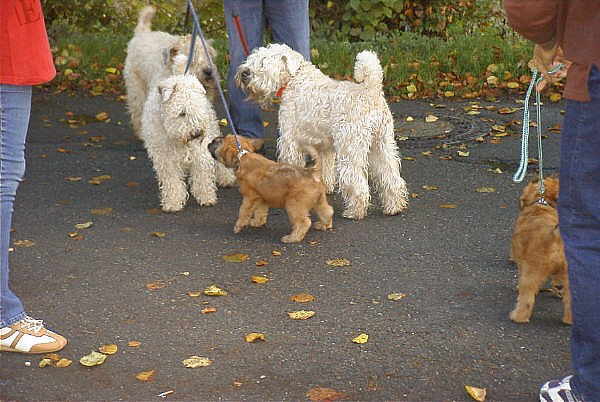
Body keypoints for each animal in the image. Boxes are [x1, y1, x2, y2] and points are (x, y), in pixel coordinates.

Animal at [124, 5, 217, 137]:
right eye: (191, 56)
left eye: (208, 54)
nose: (209, 71)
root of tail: (141, 34)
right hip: (136, 88)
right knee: (137, 110)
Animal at [140, 74, 235, 212]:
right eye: (182, 112)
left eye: (197, 109)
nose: (197, 133)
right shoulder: (165, 158)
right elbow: (172, 181)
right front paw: (173, 202)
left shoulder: (200, 153)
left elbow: (202, 175)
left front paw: (206, 197)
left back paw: (227, 178)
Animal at [235, 43, 409, 220]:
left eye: (263, 61)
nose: (244, 73)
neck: (293, 80)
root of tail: (371, 90)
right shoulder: (324, 146)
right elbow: (324, 168)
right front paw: (323, 188)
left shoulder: (290, 141)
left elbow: (292, 165)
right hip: (382, 145)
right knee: (391, 177)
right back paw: (394, 207)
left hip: (351, 149)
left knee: (357, 183)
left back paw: (354, 211)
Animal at [509, 175, 571, 324]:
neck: (541, 204)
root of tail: (556, 239)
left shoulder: (523, 263)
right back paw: (569, 320)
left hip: (531, 273)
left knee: (527, 299)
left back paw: (518, 317)